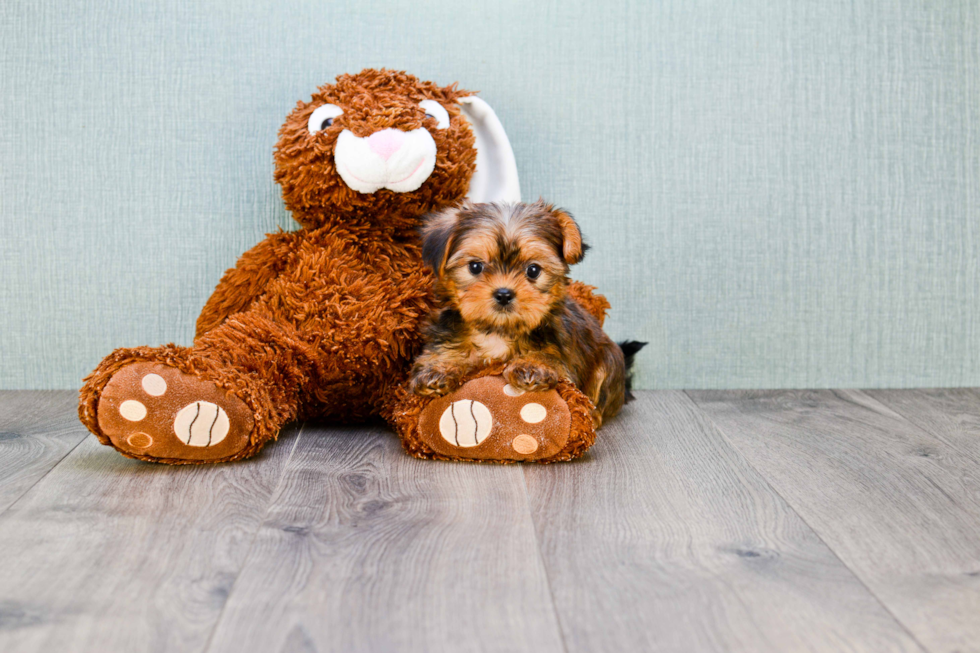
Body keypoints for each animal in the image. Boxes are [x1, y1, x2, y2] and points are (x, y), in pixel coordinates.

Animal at [406, 201, 644, 426]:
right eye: (475, 266)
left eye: (533, 270)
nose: (503, 294)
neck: (498, 331)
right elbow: (444, 352)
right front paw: (437, 370)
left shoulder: (560, 350)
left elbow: (549, 357)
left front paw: (532, 366)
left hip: (609, 361)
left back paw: (592, 416)